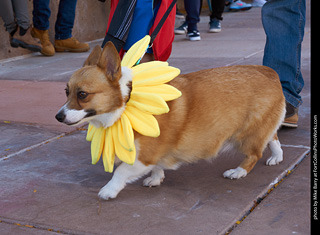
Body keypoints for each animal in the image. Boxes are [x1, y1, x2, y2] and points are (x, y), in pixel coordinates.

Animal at [54, 42, 284, 200]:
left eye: (82, 94)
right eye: (66, 92)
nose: (58, 117)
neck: (126, 103)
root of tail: (270, 72)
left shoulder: (144, 155)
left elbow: (121, 171)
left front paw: (108, 190)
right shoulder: (153, 154)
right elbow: (157, 166)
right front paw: (156, 178)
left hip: (247, 135)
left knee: (254, 154)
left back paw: (237, 172)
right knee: (273, 137)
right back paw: (277, 157)